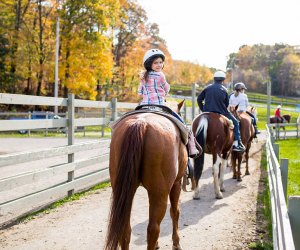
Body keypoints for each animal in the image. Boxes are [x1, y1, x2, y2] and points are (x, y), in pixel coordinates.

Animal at [105, 100, 189, 249]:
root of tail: (140, 124)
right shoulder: (176, 183)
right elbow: (175, 212)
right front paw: (176, 243)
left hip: (124, 192)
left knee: (125, 229)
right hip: (159, 192)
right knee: (153, 228)